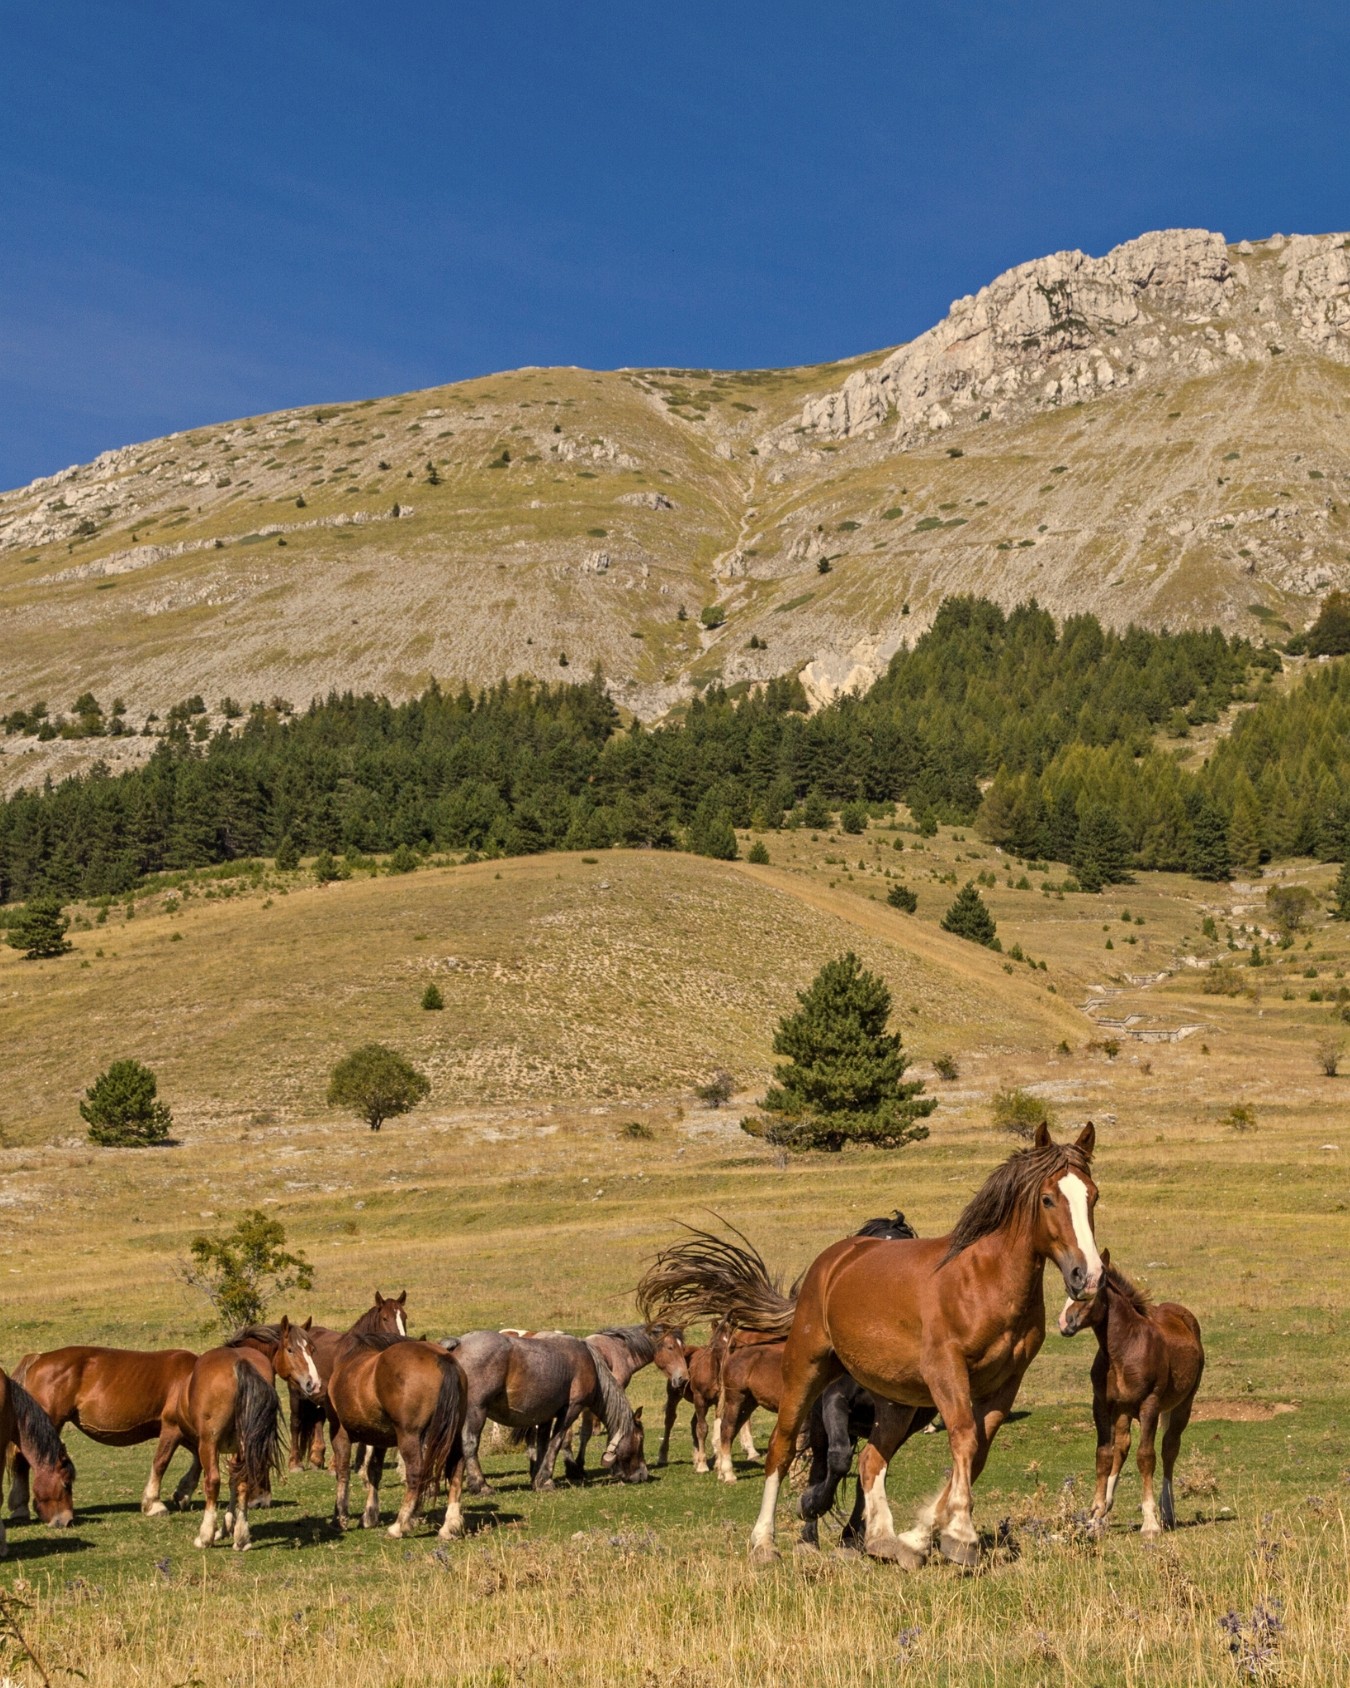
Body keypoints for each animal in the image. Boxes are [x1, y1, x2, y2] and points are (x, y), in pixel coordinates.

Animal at [13, 1339, 284, 1550]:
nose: (263, 1501)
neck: (188, 1380)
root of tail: (38, 1359)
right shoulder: (173, 1429)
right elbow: (162, 1462)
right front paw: (155, 1504)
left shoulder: (194, 1435)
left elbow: (198, 1461)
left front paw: (183, 1493)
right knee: (22, 1461)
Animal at [324, 1313, 466, 1540]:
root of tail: (442, 1359)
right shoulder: (379, 1438)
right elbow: (374, 1471)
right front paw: (369, 1515)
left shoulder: (339, 1434)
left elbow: (343, 1472)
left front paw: (339, 1518)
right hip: (452, 1435)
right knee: (457, 1470)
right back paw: (449, 1525)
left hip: (409, 1437)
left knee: (416, 1473)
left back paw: (400, 1525)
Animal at [453, 1331, 648, 1493]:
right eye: (640, 1439)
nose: (643, 1474)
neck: (590, 1363)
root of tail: (458, 1343)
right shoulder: (571, 1409)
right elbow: (556, 1443)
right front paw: (546, 1480)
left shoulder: (545, 1416)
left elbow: (542, 1445)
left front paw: (537, 1478)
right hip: (476, 1412)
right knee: (470, 1444)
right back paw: (481, 1485)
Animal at [747, 1122, 1103, 1567]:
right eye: (1048, 1199)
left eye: (1093, 1195)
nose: (1087, 1276)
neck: (983, 1281)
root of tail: (835, 1258)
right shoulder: (947, 1371)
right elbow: (965, 1438)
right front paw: (961, 1536)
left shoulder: (1005, 1383)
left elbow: (978, 1451)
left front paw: (919, 1538)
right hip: (806, 1368)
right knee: (781, 1448)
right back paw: (765, 1542)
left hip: (900, 1403)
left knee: (872, 1459)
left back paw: (881, 1540)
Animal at [1058, 1249, 1204, 1535]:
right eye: (1069, 1288)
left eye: (1092, 1289)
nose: (1064, 1322)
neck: (1122, 1351)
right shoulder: (1102, 1405)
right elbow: (1104, 1455)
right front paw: (1095, 1515)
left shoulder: (1150, 1405)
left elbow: (1146, 1457)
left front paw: (1150, 1523)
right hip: (1124, 1412)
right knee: (1122, 1448)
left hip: (1183, 1404)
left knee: (1169, 1448)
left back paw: (1167, 1512)